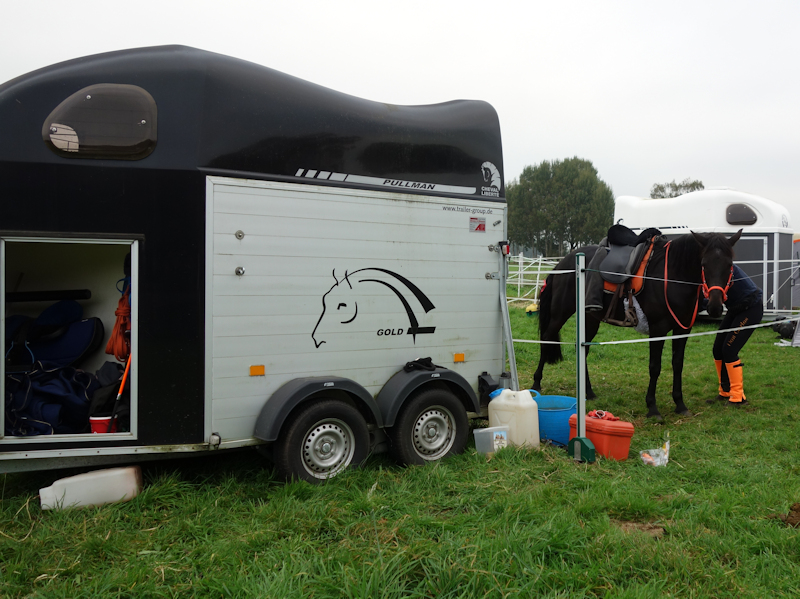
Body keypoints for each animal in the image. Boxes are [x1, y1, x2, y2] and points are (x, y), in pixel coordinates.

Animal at [532, 230, 741, 420]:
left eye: (729, 265)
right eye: (704, 264)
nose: (715, 307)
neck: (671, 276)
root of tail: (562, 263)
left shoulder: (682, 330)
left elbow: (678, 364)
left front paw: (680, 404)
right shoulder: (658, 329)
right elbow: (655, 367)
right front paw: (653, 408)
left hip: (590, 318)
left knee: (582, 349)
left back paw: (589, 392)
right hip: (560, 313)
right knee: (546, 339)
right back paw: (536, 384)